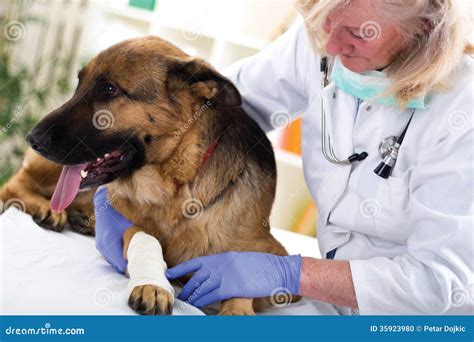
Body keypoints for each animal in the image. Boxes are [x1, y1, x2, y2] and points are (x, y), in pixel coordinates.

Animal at [1, 36, 294, 314]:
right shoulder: (128, 222)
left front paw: (237, 309)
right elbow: (144, 237)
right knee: (13, 185)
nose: (32, 138)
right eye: (79, 84)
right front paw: (153, 286)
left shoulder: (274, 258)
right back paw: (47, 209)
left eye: (109, 89)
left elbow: (244, 276)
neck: (177, 189)